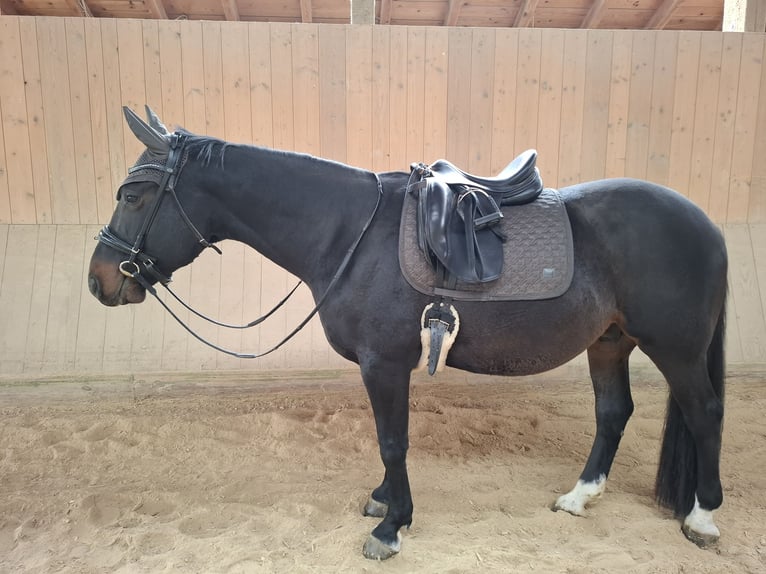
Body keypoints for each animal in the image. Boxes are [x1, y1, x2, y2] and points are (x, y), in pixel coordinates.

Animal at [88, 107, 728, 560]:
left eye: (134, 195)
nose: (99, 280)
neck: (349, 232)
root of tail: (705, 222)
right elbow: (386, 440)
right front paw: (384, 502)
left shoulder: (385, 362)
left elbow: (392, 440)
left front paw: (393, 526)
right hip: (610, 341)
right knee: (613, 412)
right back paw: (580, 496)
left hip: (677, 349)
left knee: (704, 413)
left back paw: (701, 517)